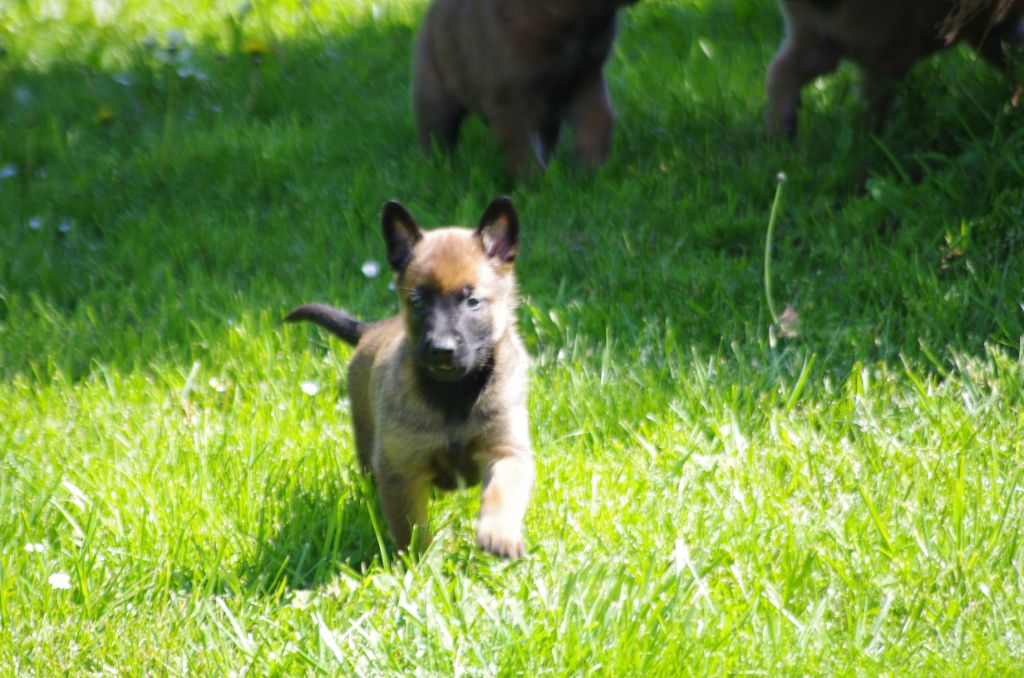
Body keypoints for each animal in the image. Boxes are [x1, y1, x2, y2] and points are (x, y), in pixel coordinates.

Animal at [284, 195, 532, 557]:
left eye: (473, 301)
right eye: (417, 302)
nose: (442, 350)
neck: (452, 397)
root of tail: (371, 329)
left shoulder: (507, 451)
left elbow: (502, 492)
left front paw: (498, 534)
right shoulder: (400, 470)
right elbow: (411, 529)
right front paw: (419, 561)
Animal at [409, 0, 634, 178]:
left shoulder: (584, 81)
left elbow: (599, 122)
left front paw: (590, 171)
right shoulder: (510, 102)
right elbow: (523, 152)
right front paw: (536, 189)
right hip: (436, 101)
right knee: (436, 140)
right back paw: (439, 172)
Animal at [770, 0, 1024, 135]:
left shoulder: (890, 56)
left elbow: (869, 115)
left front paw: (862, 159)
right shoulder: (814, 41)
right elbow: (779, 72)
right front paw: (779, 131)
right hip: (988, 34)